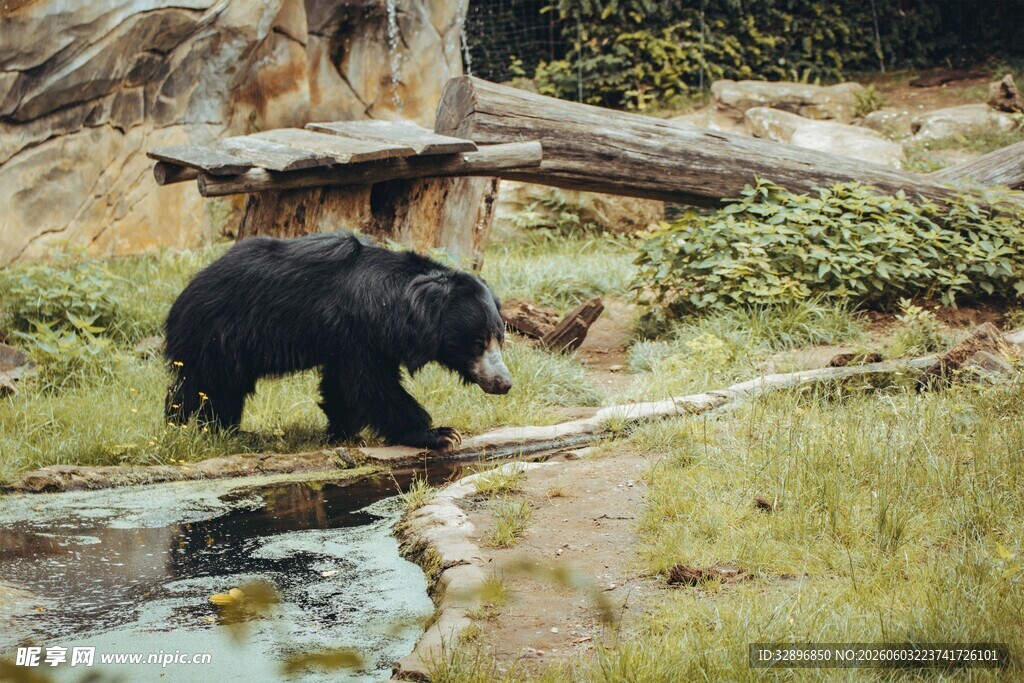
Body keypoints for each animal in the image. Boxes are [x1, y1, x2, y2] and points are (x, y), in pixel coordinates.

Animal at [163, 231, 512, 449]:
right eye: (478, 342)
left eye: (500, 338)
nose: (504, 383)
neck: (400, 309)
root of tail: (185, 293)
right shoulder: (356, 331)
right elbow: (371, 385)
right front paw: (440, 434)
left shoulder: (357, 341)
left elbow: (341, 386)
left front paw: (343, 434)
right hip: (218, 337)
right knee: (209, 387)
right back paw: (199, 429)